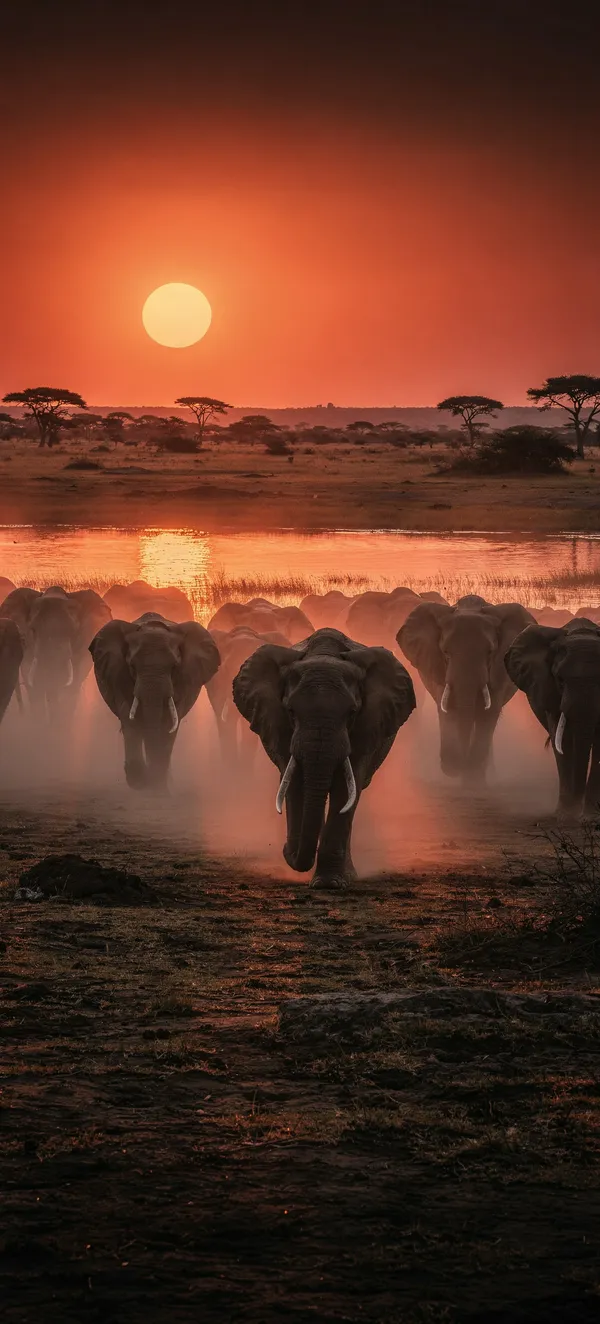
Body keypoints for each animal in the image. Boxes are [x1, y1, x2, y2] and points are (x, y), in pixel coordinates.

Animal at [90, 612, 220, 789]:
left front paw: (157, 784)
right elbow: (129, 717)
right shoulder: (117, 674)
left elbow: (169, 723)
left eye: (174, 667)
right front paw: (141, 781)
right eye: (132, 666)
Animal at [232, 627, 416, 887]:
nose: (285, 851)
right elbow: (294, 782)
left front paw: (329, 883)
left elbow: (346, 788)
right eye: (291, 711)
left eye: (352, 713)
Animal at [397, 598, 535, 781]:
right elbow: (448, 711)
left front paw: (473, 773)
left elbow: (488, 714)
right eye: (445, 653)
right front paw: (458, 768)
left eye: (490, 653)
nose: (460, 764)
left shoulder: (498, 673)